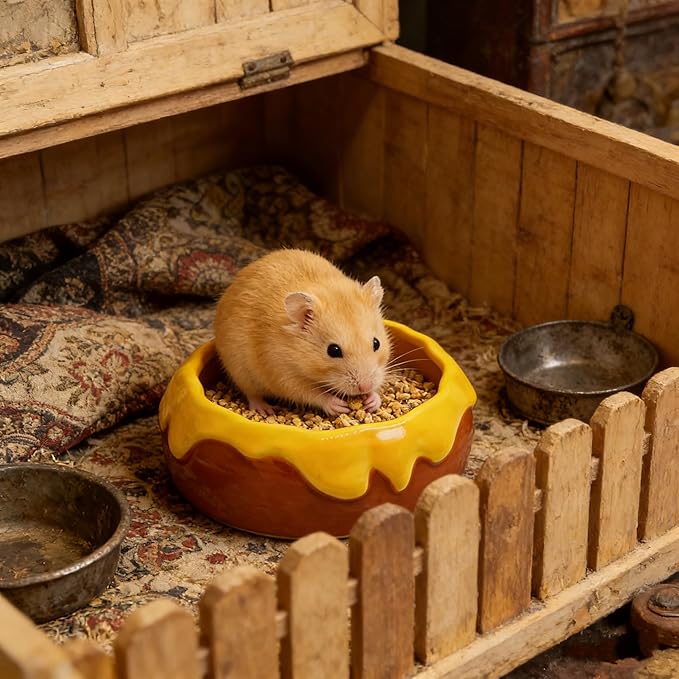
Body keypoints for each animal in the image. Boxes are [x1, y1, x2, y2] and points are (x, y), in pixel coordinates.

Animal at [213, 248, 391, 417]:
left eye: (376, 343)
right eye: (333, 351)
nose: (365, 387)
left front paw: (372, 400)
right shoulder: (283, 375)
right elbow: (311, 393)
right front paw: (337, 405)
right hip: (240, 371)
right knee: (252, 394)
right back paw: (265, 410)